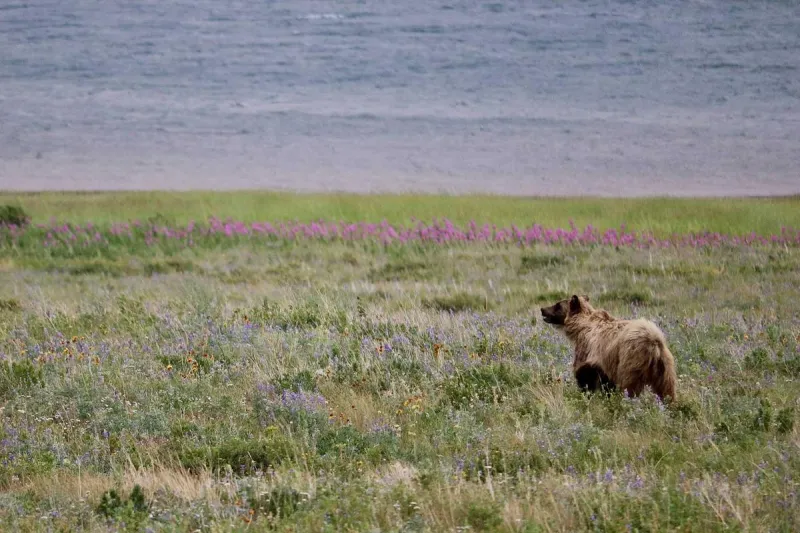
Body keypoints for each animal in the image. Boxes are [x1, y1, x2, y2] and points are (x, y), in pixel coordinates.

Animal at [540, 295, 677, 401]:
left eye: (557, 305)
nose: (542, 309)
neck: (580, 327)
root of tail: (653, 339)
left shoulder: (590, 349)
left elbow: (584, 373)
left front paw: (586, 394)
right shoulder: (605, 362)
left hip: (631, 359)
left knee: (630, 385)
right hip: (665, 365)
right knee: (666, 388)